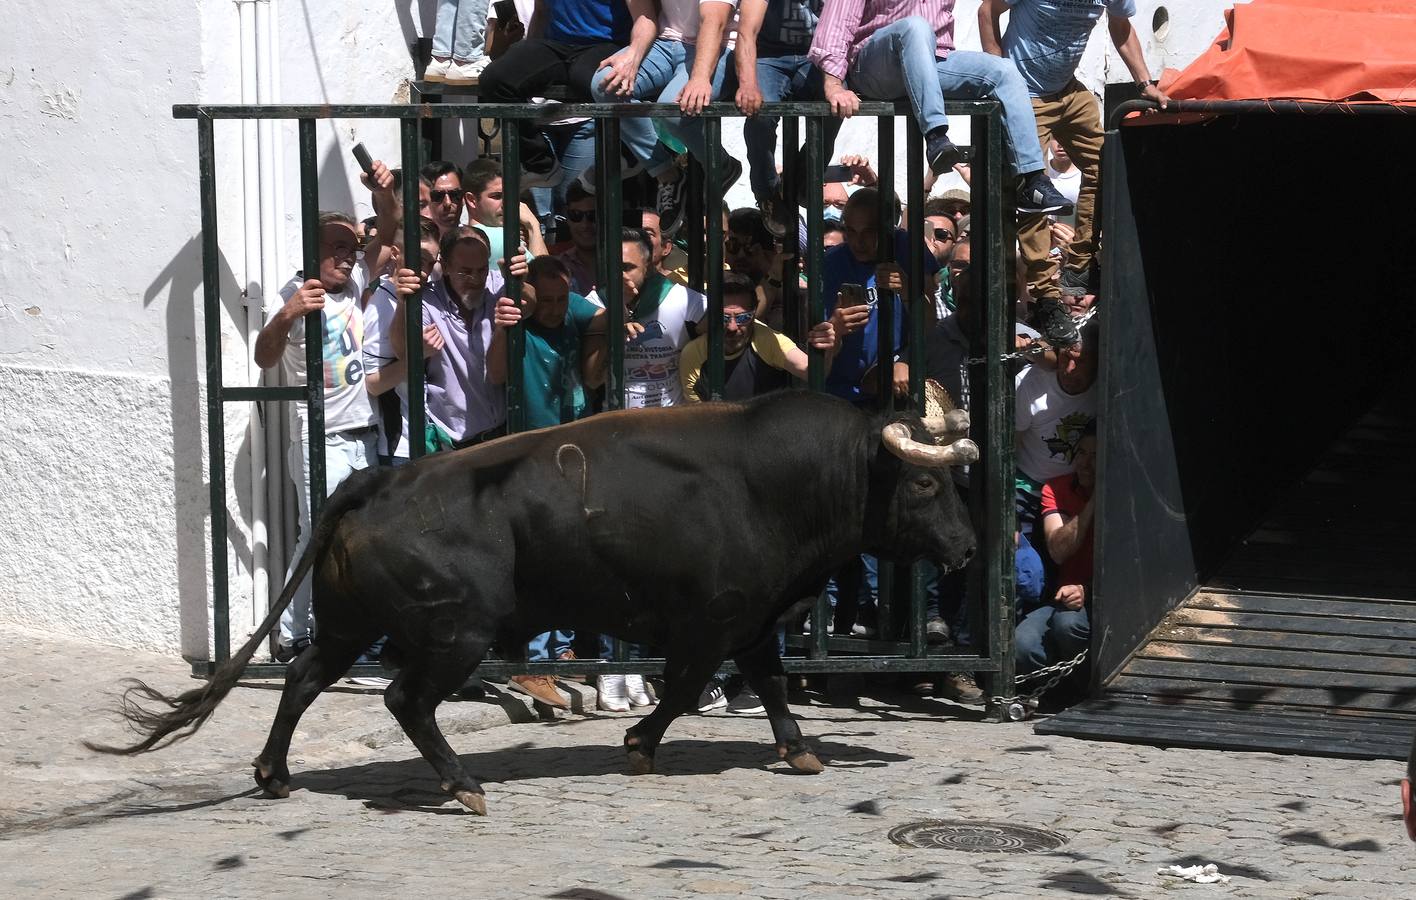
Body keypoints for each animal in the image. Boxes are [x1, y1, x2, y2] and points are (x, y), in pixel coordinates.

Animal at [85, 390, 974, 809]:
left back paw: (273, 773)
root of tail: (379, 481)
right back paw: (462, 786)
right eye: (928, 484)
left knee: (303, 678)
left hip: (346, 626)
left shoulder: (753, 621)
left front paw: (799, 750)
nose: (967, 550)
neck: (783, 481)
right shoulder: (710, 620)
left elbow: (775, 685)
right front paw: (638, 745)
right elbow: (688, 690)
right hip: (456, 632)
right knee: (406, 699)